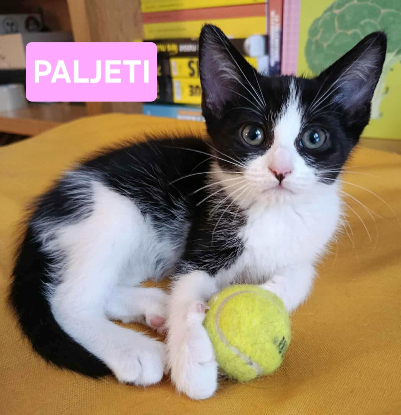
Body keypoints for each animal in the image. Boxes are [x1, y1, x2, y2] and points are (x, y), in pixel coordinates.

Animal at [9, 25, 386, 400]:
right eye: (253, 134)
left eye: (314, 138)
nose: (280, 171)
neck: (272, 213)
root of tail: (45, 208)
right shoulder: (203, 238)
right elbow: (188, 287)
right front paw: (193, 363)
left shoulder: (308, 242)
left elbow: (302, 276)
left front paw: (267, 294)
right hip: (111, 214)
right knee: (70, 302)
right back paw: (135, 349)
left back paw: (154, 306)